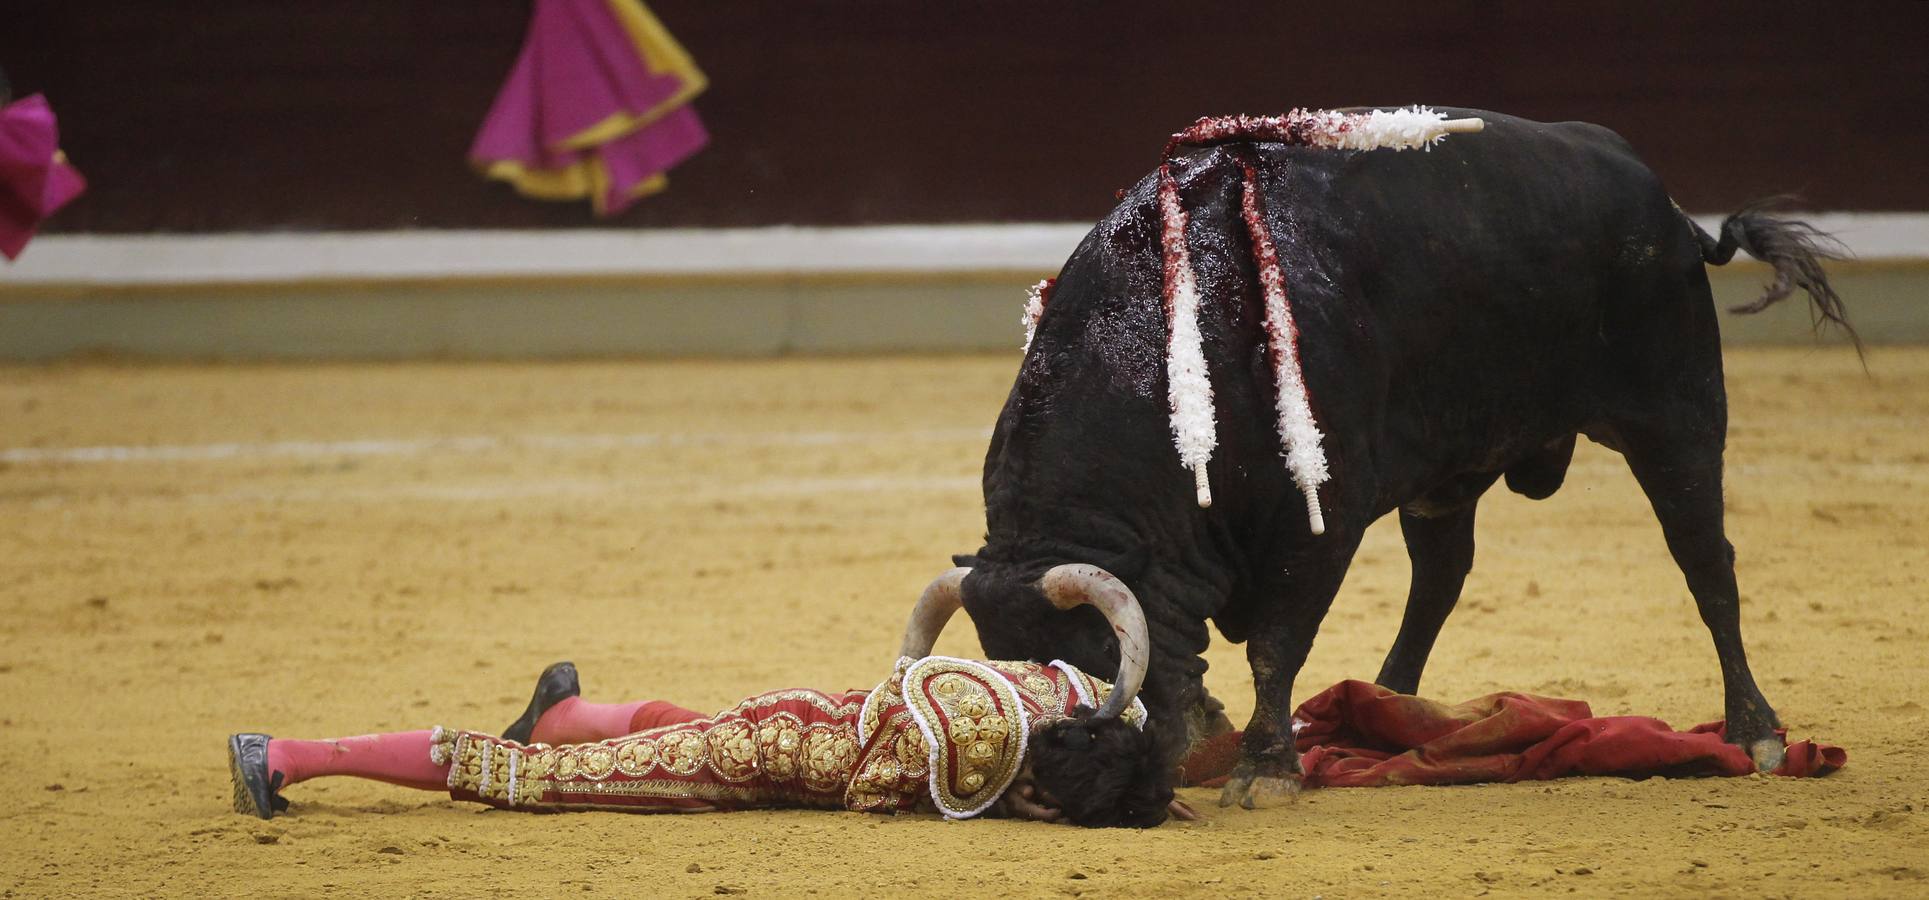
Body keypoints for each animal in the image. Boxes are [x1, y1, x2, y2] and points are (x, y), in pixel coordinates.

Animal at [949, 105, 1851, 809]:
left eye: (1101, 660)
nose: (1044, 791)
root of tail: (1665, 207)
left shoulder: (1322, 517)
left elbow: (1276, 641)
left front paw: (1263, 771)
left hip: (1677, 418)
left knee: (1706, 563)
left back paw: (1756, 733)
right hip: (1448, 475)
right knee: (1441, 577)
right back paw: (1388, 709)